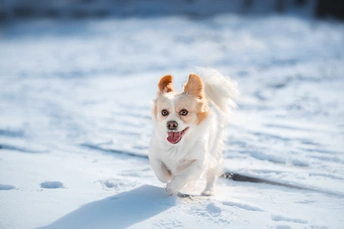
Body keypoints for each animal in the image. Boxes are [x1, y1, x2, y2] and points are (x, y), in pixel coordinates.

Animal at [148, 67, 236, 195]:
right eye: (164, 112)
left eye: (184, 112)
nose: (171, 124)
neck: (177, 146)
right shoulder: (154, 155)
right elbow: (161, 173)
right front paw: (168, 175)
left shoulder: (200, 163)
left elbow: (184, 175)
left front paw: (173, 186)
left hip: (214, 152)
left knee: (212, 173)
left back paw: (208, 191)